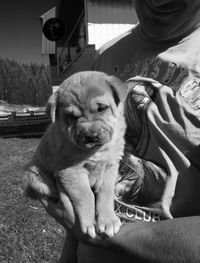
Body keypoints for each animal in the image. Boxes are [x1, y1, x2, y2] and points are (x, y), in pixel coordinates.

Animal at [25, 70, 127, 260]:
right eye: (72, 117)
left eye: (102, 108)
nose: (91, 136)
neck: (96, 151)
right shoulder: (71, 171)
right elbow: (86, 195)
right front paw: (89, 223)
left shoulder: (110, 167)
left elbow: (106, 193)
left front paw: (108, 220)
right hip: (35, 174)